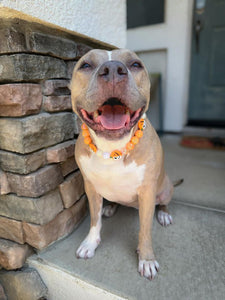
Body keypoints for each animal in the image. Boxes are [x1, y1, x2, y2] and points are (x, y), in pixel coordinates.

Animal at [70, 48, 174, 280]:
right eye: (86, 65)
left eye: (135, 64)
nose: (112, 71)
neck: (112, 148)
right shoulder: (90, 188)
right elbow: (94, 219)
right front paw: (90, 243)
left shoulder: (147, 192)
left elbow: (145, 230)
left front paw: (146, 259)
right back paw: (111, 208)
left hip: (166, 188)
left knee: (163, 202)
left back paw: (163, 214)